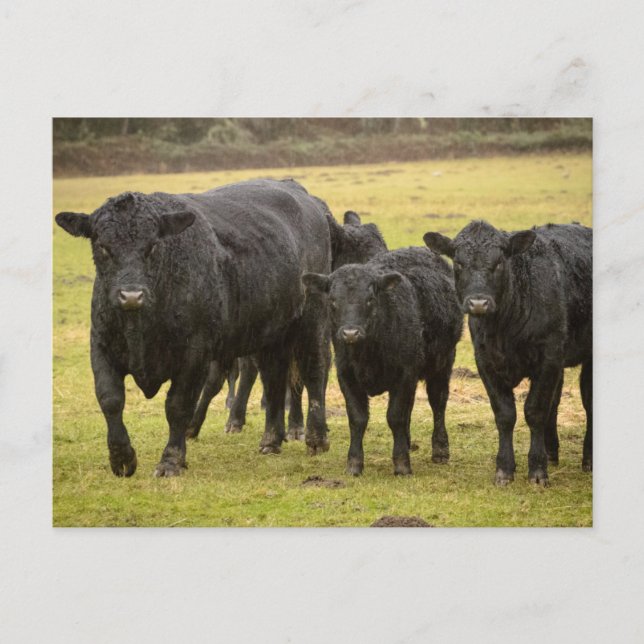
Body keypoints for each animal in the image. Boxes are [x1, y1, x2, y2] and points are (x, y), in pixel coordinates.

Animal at [55, 179, 332, 477]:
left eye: (152, 246)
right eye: (103, 246)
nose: (131, 296)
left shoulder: (194, 355)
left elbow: (178, 405)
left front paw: (171, 460)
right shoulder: (101, 347)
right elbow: (110, 399)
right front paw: (122, 458)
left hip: (311, 320)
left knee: (314, 370)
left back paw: (316, 438)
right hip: (269, 335)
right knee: (273, 379)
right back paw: (271, 440)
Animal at [302, 247, 463, 476]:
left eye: (370, 299)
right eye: (332, 300)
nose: (350, 333)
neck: (368, 354)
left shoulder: (405, 373)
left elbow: (395, 416)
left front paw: (402, 464)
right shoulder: (346, 375)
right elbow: (358, 418)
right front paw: (354, 464)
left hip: (442, 363)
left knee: (438, 402)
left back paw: (440, 450)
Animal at [424, 220, 592, 486]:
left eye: (499, 262)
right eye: (459, 263)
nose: (478, 303)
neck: (504, 328)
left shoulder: (548, 359)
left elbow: (535, 411)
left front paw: (537, 471)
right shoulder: (486, 362)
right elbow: (505, 414)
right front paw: (504, 469)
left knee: (589, 402)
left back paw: (587, 460)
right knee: (555, 401)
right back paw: (552, 453)